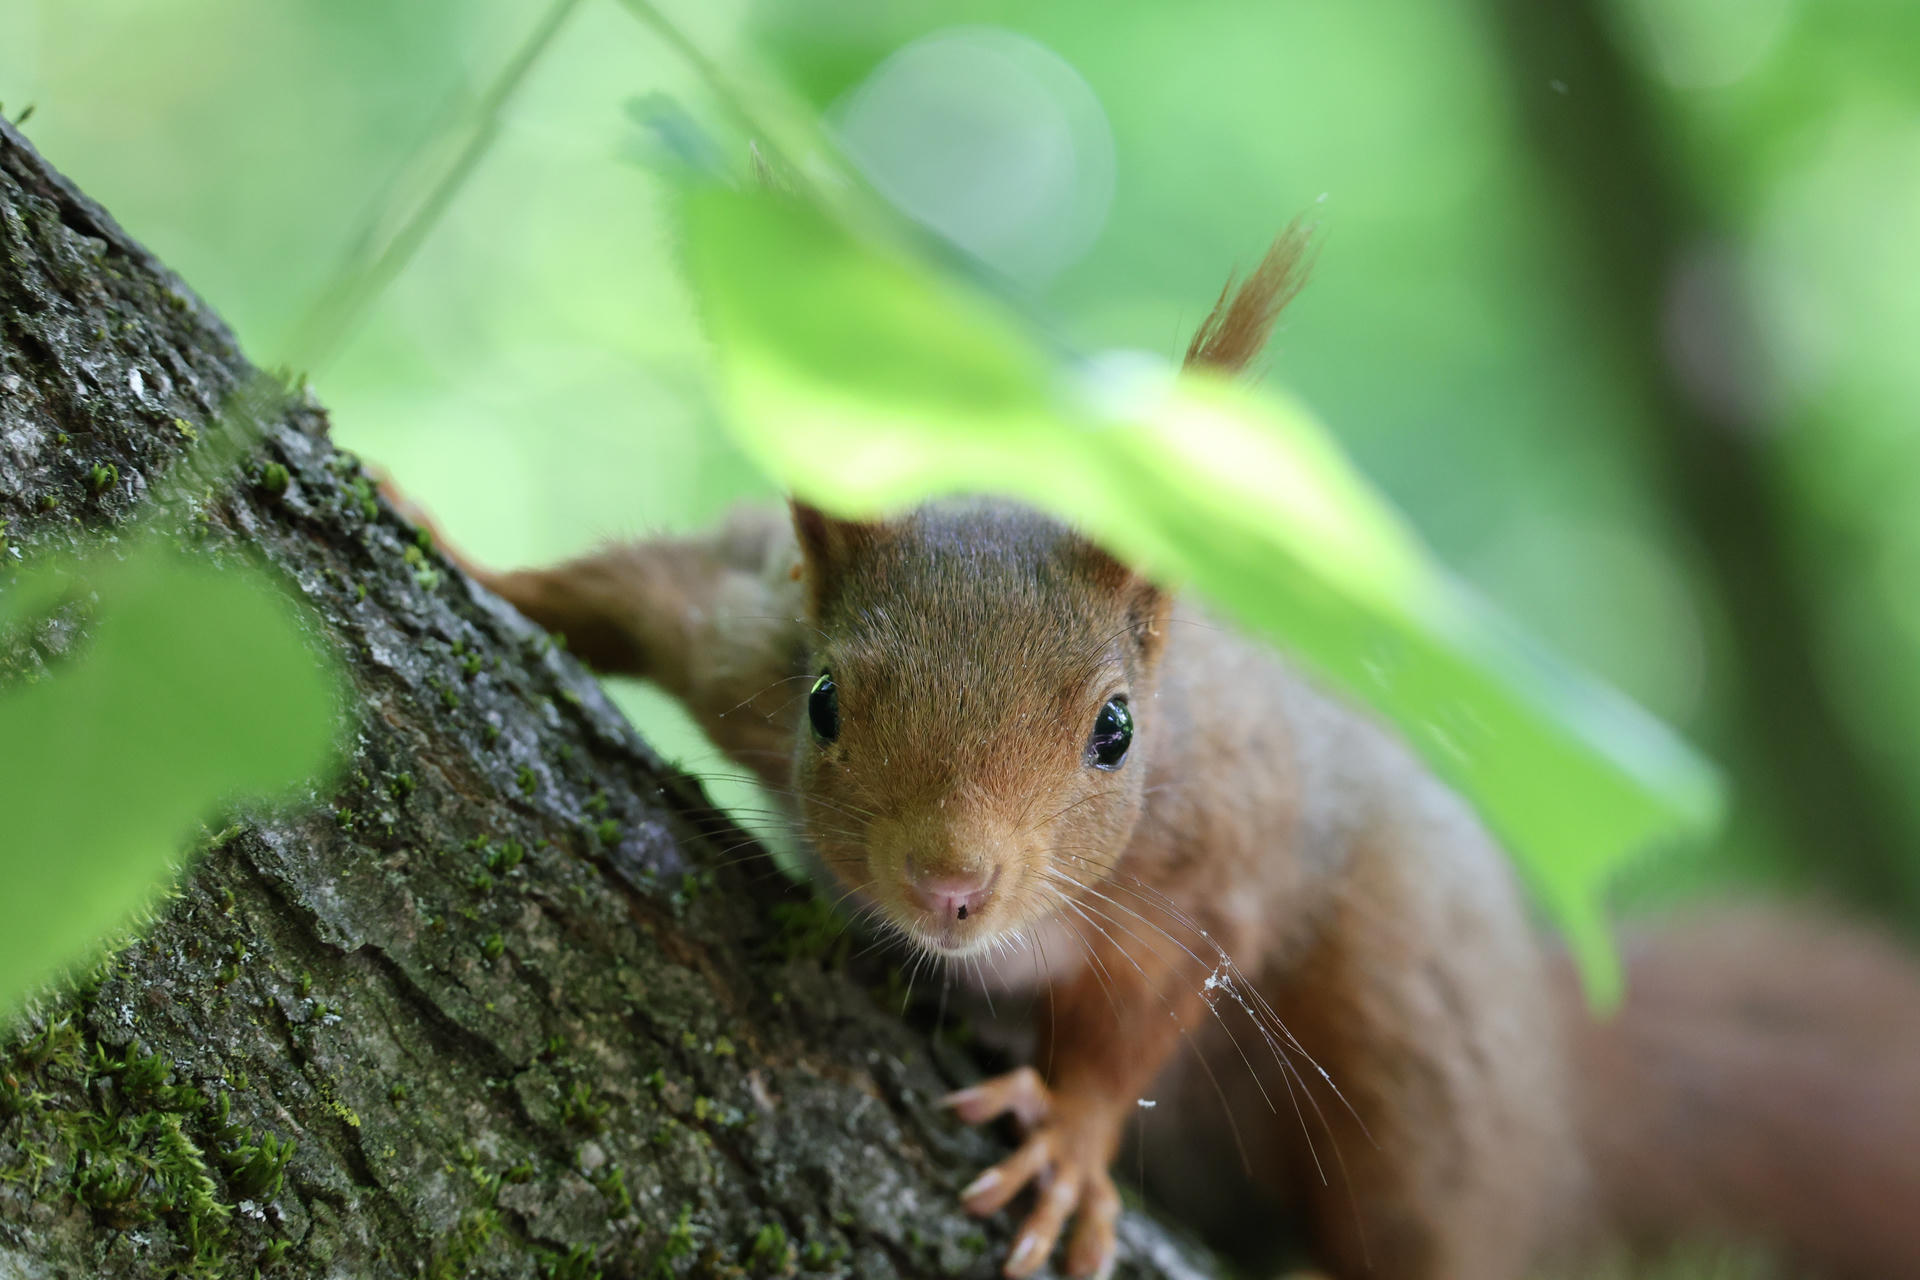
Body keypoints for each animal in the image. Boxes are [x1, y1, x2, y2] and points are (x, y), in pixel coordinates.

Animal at [385, 232, 1920, 1280]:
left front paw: (1068, 1140)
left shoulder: (1209, 865)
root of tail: (1557, 1058)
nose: (952, 890)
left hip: (1416, 1057)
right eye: (825, 705)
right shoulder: (740, 634)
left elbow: (1141, 1004)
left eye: (1115, 731)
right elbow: (622, 594)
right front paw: (442, 535)